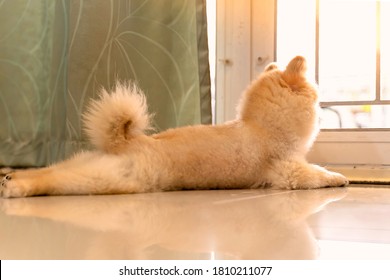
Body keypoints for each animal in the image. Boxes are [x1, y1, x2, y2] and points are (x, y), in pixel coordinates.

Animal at [0, 55, 348, 198]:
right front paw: (338, 178)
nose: (322, 106)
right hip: (113, 179)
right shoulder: (288, 169)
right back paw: (18, 188)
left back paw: (12, 177)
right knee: (57, 181)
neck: (261, 127)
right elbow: (317, 173)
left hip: (86, 164)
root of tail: (124, 140)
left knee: (50, 170)